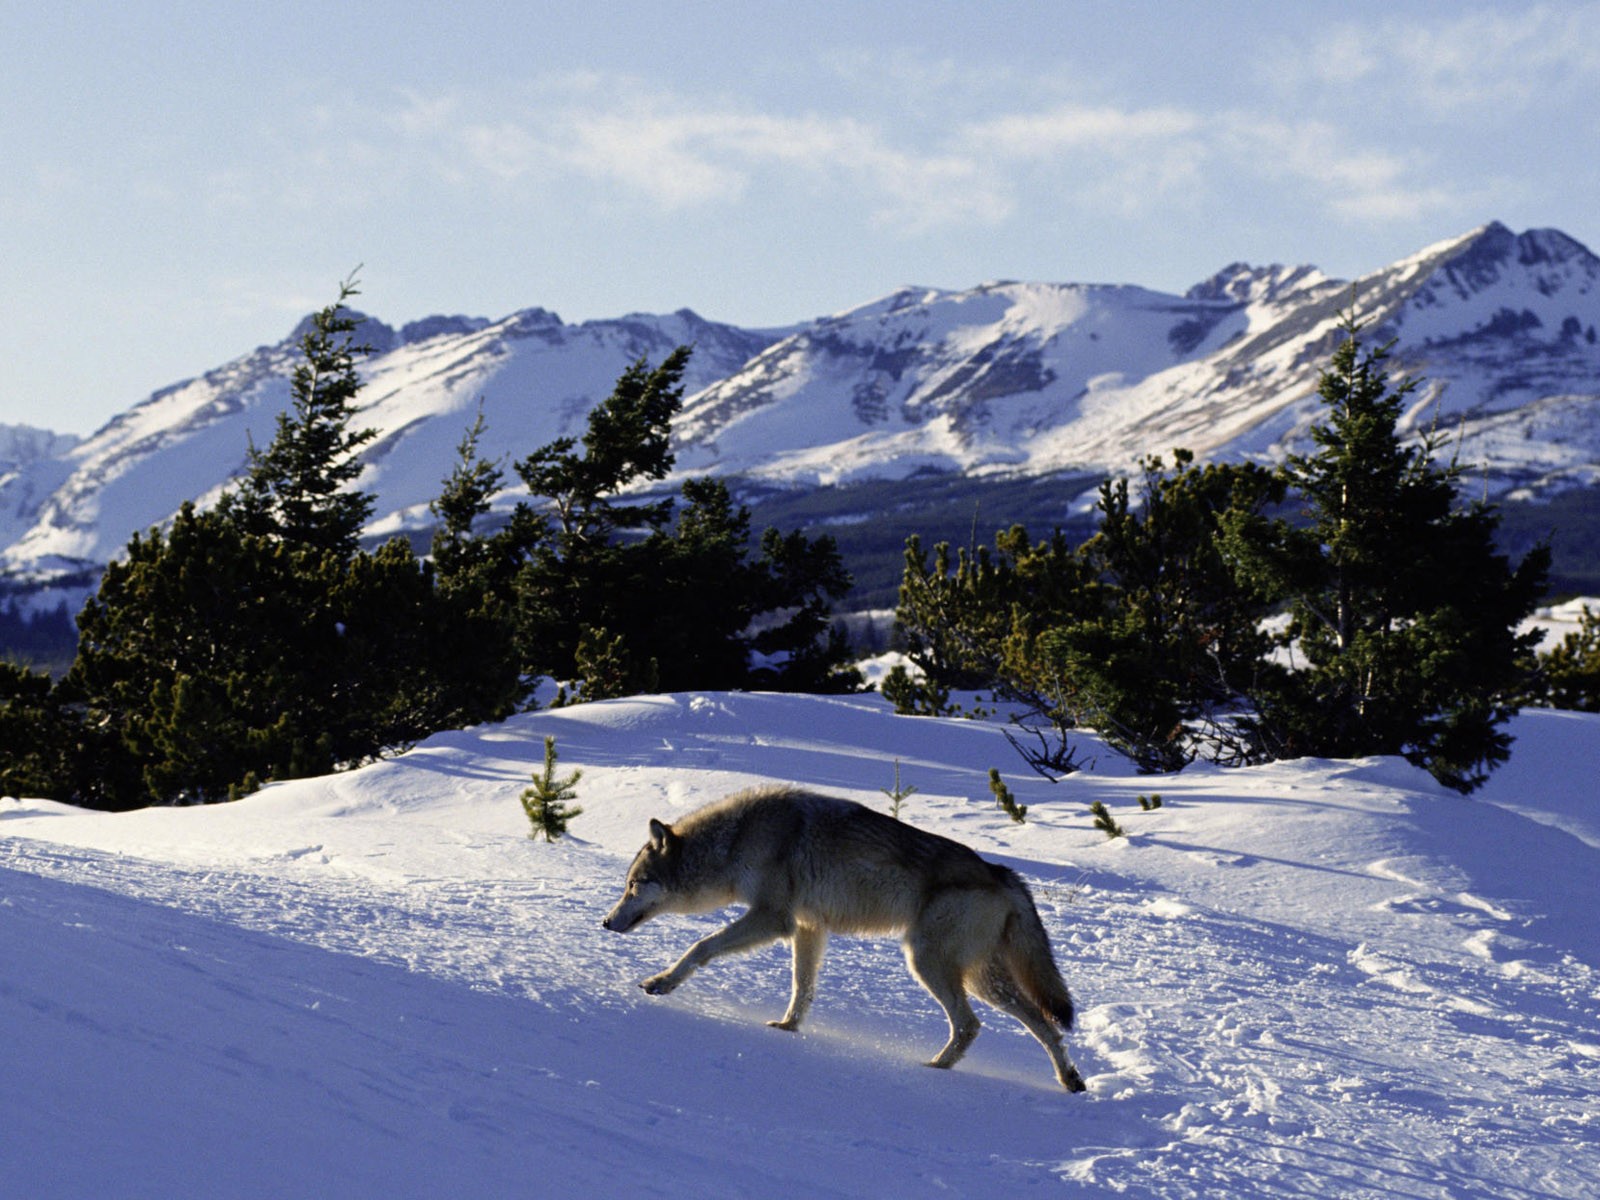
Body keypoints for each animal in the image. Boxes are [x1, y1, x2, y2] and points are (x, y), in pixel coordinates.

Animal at [601, 784, 1088, 1094]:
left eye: (633, 885)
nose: (606, 923)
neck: (737, 839)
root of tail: (1002, 873)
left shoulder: (772, 918)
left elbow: (700, 946)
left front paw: (661, 983)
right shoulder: (806, 928)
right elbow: (802, 987)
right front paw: (788, 1028)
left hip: (929, 964)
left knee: (970, 1025)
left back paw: (934, 1068)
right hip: (982, 981)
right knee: (1044, 1025)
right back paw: (1070, 1081)